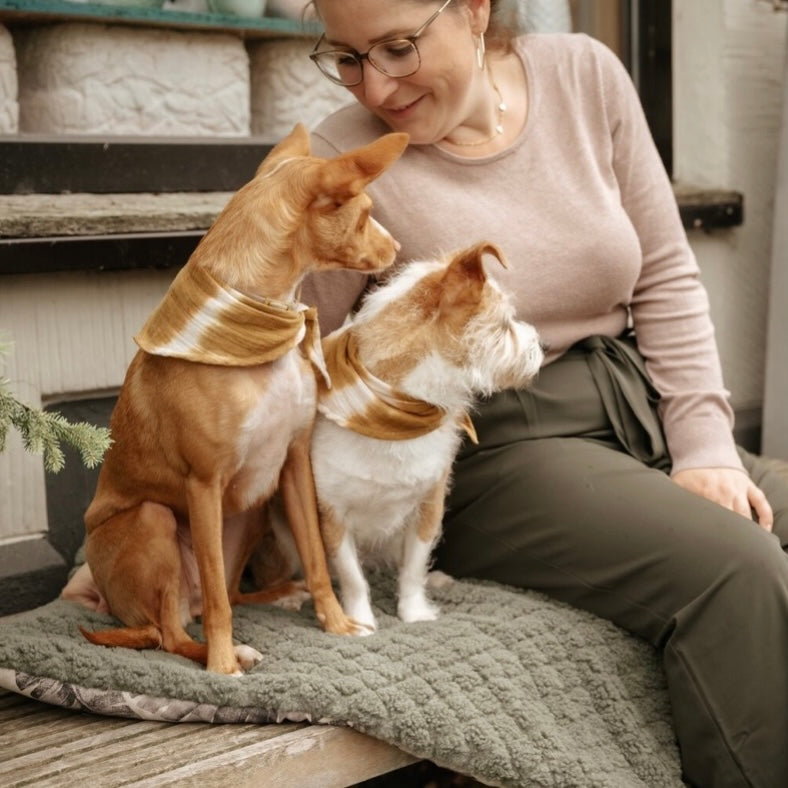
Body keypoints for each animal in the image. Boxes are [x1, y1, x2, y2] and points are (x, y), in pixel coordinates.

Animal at [60, 123, 406, 672]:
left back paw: (281, 594)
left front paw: (334, 622)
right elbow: (220, 604)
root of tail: (116, 608)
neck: (264, 323)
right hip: (155, 520)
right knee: (175, 629)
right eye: (367, 212)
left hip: (253, 511)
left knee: (223, 595)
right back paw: (226, 652)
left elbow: (316, 558)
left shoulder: (293, 462)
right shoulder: (203, 484)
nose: (397, 245)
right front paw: (221, 667)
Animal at [262, 243, 544, 632]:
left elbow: (413, 567)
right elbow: (351, 576)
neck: (395, 416)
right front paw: (360, 620)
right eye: (504, 326)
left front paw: (415, 613)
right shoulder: (332, 516)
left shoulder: (428, 507)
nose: (540, 345)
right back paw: (288, 594)